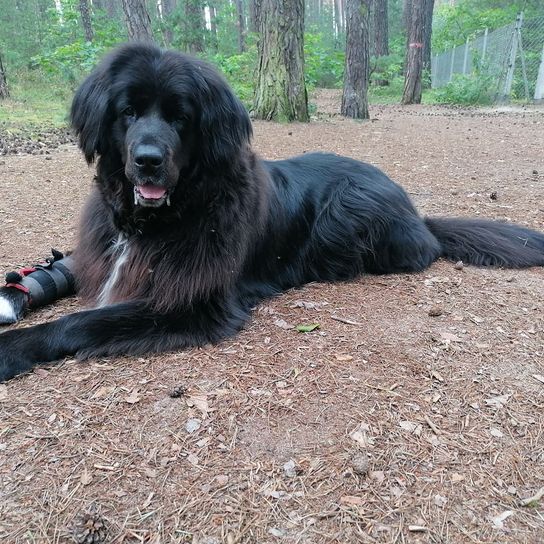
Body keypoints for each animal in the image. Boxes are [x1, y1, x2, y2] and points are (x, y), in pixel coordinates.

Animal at [1, 43, 544, 382]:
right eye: (127, 112)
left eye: (181, 117)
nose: (148, 160)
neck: (155, 222)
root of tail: (415, 211)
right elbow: (64, 273)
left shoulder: (193, 301)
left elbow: (83, 321)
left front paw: (14, 349)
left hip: (348, 209)